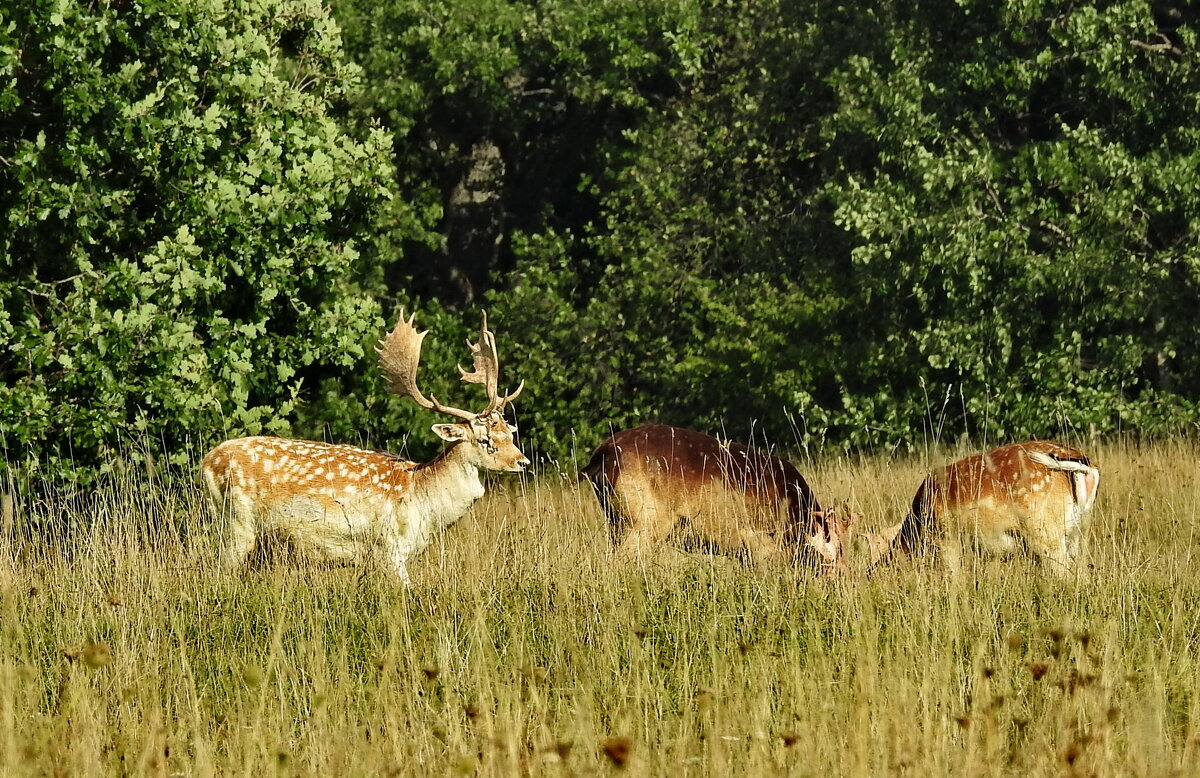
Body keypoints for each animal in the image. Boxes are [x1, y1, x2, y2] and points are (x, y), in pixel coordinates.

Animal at [200, 309, 525, 583]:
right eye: (485, 440)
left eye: (509, 434)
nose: (522, 461)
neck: (423, 499)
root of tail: (206, 462)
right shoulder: (389, 548)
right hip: (236, 522)